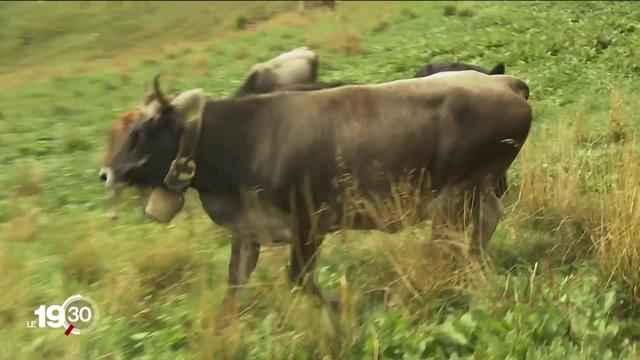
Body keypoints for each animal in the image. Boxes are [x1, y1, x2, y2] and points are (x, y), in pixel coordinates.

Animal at [99, 71, 528, 322]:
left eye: (141, 133)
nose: (106, 174)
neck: (243, 139)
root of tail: (504, 83)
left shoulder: (309, 222)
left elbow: (299, 278)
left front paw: (341, 307)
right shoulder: (248, 230)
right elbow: (234, 283)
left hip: (457, 193)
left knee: (453, 240)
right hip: (476, 190)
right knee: (486, 222)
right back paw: (478, 266)